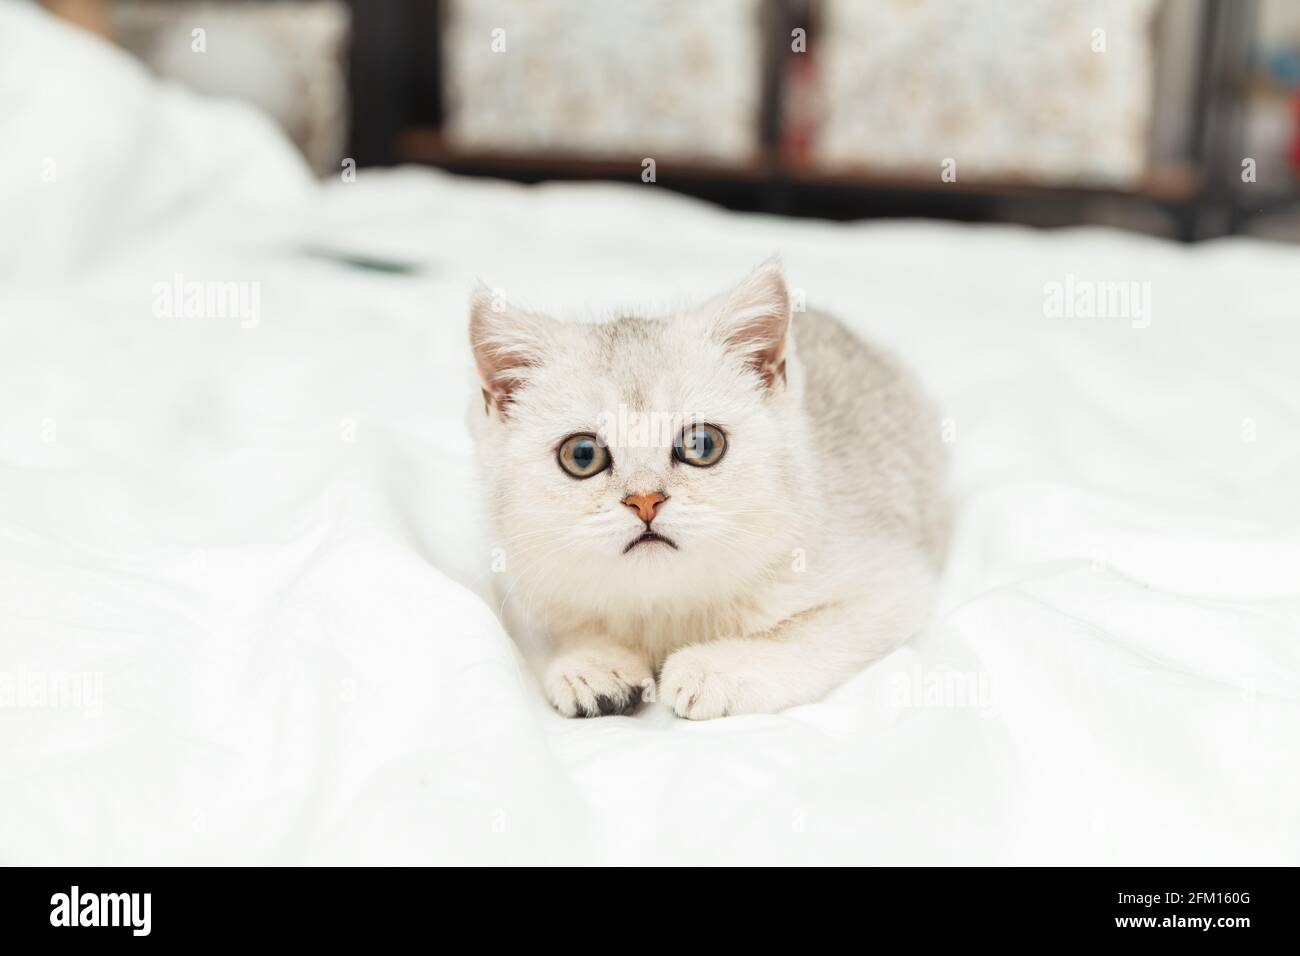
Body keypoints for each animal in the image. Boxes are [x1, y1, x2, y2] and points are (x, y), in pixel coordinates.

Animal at [467, 257, 946, 723]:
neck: (665, 602)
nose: (645, 501)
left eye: (702, 444)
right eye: (582, 455)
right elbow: (565, 624)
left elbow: (804, 633)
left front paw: (717, 669)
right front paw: (593, 663)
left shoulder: (892, 581)